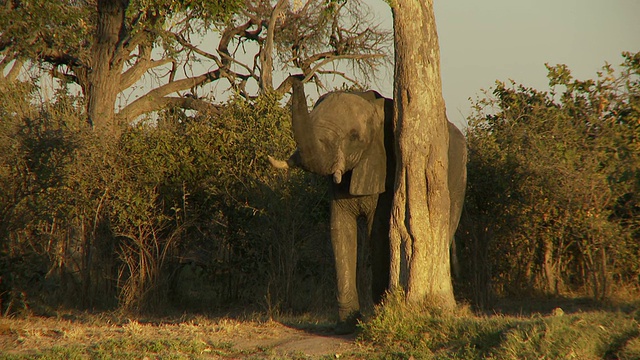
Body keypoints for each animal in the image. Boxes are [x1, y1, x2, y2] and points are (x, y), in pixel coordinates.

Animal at [268, 76, 468, 334]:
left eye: (354, 137)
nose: (295, 77)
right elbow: (340, 230)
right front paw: (348, 322)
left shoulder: (389, 167)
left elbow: (378, 233)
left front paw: (377, 311)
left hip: (457, 178)